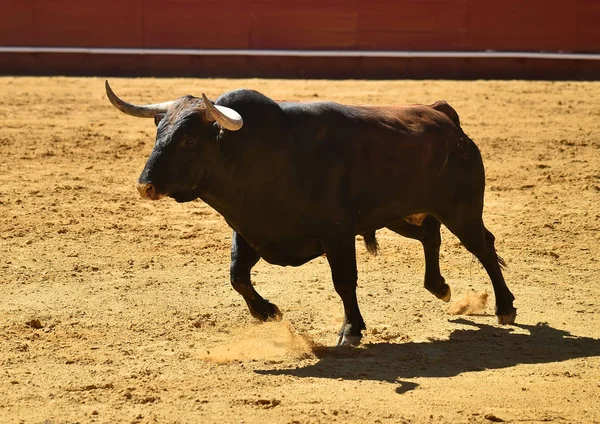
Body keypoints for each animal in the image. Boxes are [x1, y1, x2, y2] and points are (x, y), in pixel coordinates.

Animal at [103, 81, 516, 346]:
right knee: (431, 235)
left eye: (189, 139)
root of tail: (442, 115)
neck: (261, 154)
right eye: (158, 134)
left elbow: (344, 281)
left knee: (483, 247)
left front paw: (351, 330)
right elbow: (237, 275)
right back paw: (440, 287)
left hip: (461, 210)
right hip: (400, 215)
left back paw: (505, 307)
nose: (145, 186)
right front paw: (267, 312)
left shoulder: (337, 233)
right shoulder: (250, 231)